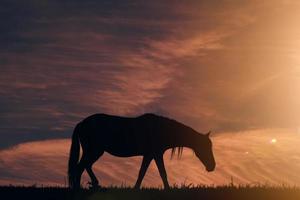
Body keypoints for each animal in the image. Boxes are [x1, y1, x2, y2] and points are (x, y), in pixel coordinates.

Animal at [67, 113, 216, 188]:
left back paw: (94, 184)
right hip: (94, 150)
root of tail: (81, 123)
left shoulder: (150, 155)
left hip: (95, 151)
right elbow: (161, 173)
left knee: (86, 166)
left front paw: (136, 188)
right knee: (80, 167)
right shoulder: (156, 154)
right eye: (205, 147)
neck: (161, 129)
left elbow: (143, 172)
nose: (212, 167)